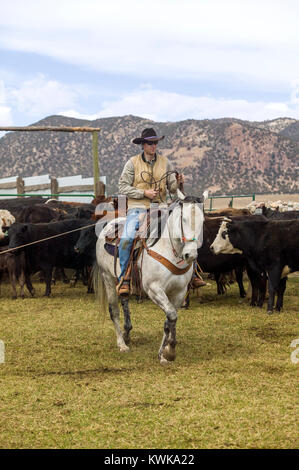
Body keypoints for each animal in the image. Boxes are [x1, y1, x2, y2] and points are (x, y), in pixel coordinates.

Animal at [94, 190, 206, 364]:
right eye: (184, 219)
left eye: (202, 221)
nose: (191, 255)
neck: (169, 249)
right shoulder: (154, 289)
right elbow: (172, 315)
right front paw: (170, 351)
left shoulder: (179, 292)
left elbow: (170, 320)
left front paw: (164, 353)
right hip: (108, 279)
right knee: (114, 311)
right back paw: (122, 344)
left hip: (122, 281)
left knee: (124, 299)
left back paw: (127, 334)